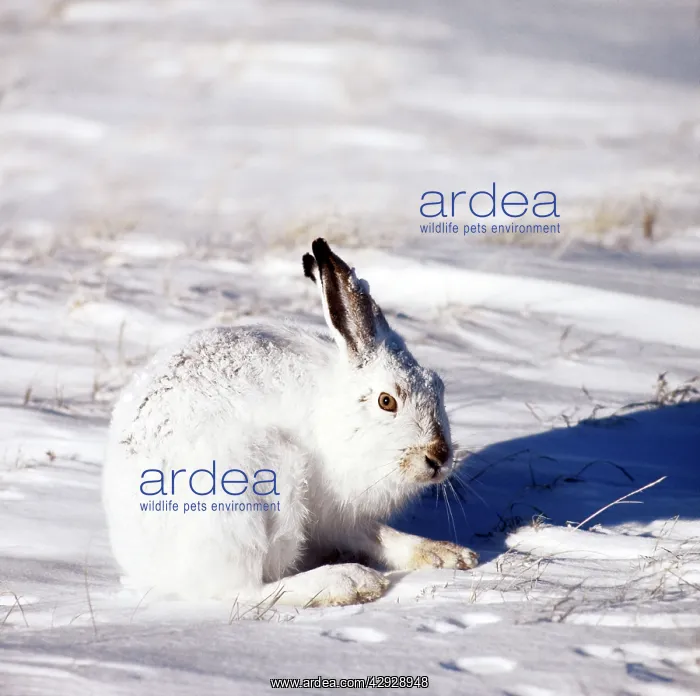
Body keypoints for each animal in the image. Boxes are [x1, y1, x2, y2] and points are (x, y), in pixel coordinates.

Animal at [102, 238, 478, 607]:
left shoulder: (336, 514)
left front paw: (451, 555)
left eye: (439, 387)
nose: (439, 457)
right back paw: (350, 582)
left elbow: (376, 533)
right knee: (244, 589)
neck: (332, 409)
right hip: (255, 488)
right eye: (387, 401)